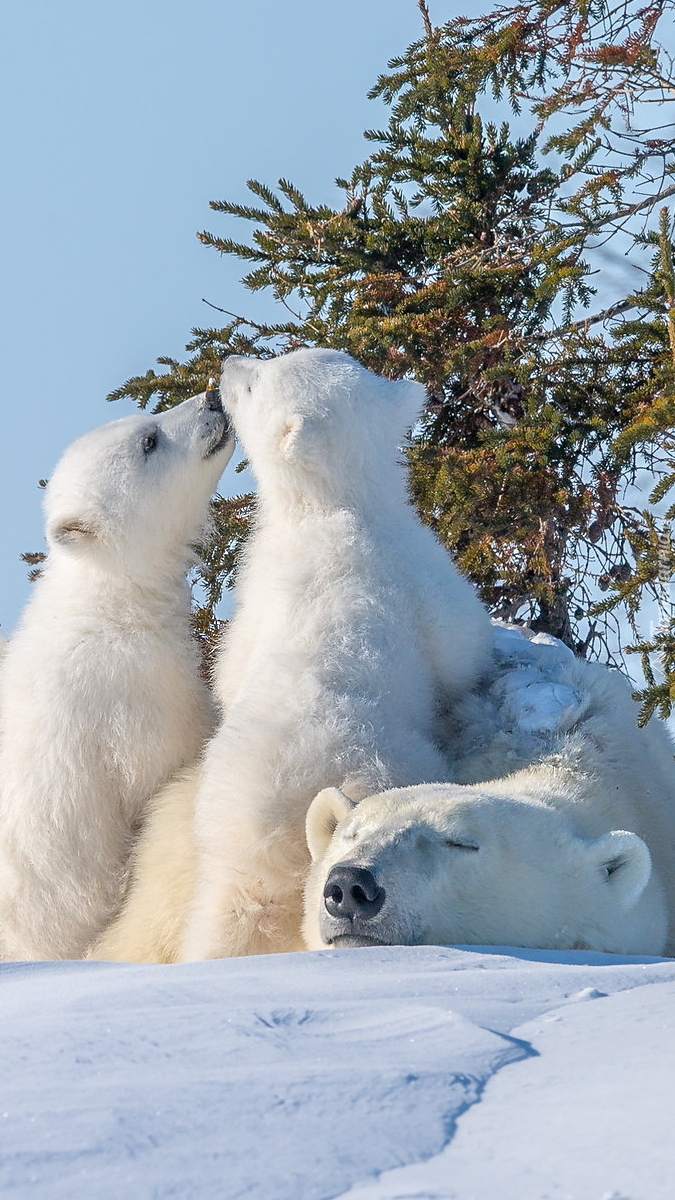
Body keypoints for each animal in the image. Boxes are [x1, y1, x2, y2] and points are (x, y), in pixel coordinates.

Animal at [0, 388, 234, 960]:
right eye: (148, 440)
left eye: (145, 420)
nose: (212, 397)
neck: (113, 600)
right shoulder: (134, 695)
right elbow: (168, 764)